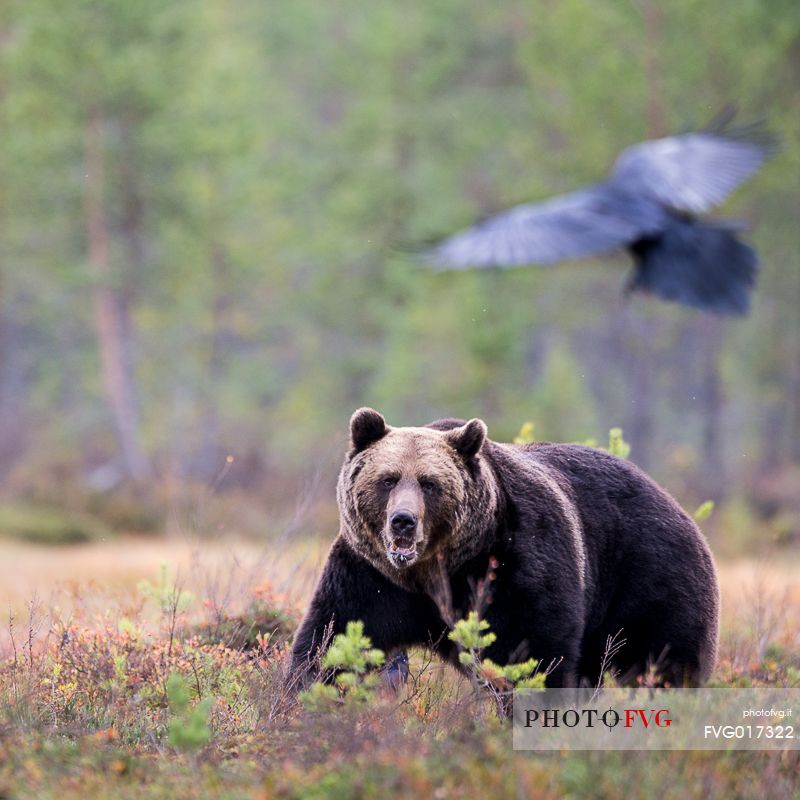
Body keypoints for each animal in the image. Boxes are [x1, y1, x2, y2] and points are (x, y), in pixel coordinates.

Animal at [290, 410, 720, 692]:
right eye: (388, 479)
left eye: (429, 483)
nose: (403, 521)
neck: (436, 570)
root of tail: (676, 504)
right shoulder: (373, 577)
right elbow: (331, 637)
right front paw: (305, 695)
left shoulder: (516, 566)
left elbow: (534, 652)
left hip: (650, 576)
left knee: (663, 658)